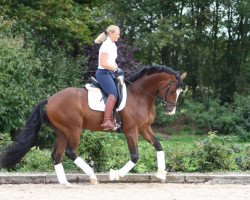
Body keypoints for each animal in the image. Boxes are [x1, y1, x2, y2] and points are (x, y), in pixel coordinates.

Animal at [0, 65, 186, 186]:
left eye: (179, 91)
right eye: (172, 89)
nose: (170, 111)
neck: (140, 95)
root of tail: (50, 99)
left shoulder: (144, 129)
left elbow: (159, 146)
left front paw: (161, 174)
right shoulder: (131, 130)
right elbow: (134, 156)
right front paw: (115, 174)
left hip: (62, 131)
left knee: (56, 155)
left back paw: (65, 182)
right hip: (74, 129)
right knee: (70, 152)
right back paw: (92, 176)